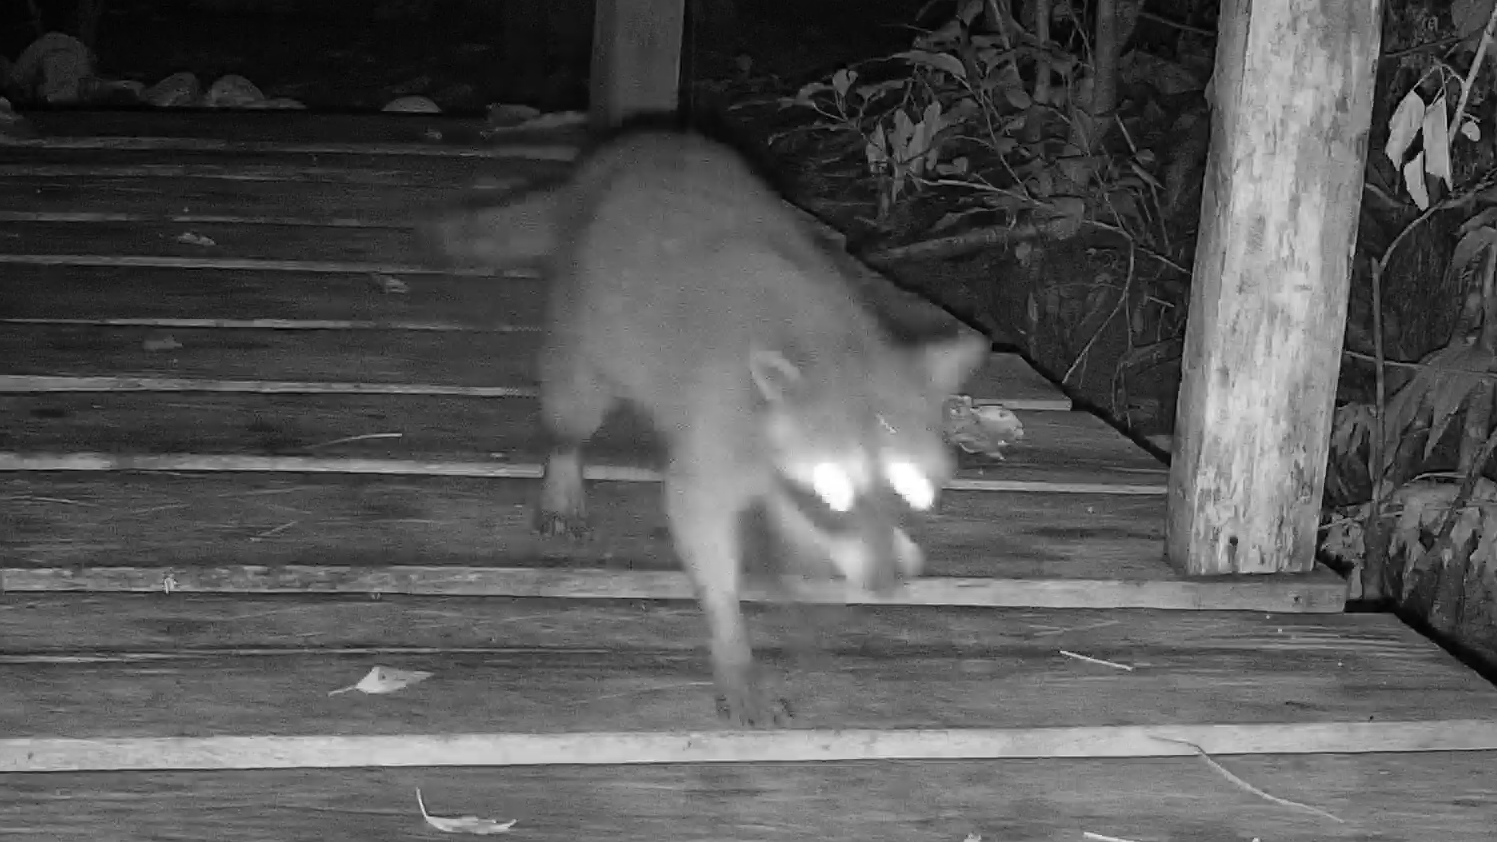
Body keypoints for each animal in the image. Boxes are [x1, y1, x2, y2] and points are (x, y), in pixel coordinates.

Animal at [426, 130, 988, 726]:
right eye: (834, 492)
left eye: (910, 493)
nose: (885, 584)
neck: (836, 348)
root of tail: (620, 152)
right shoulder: (722, 426)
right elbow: (699, 516)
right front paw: (732, 641)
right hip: (587, 319)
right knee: (574, 402)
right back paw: (564, 459)